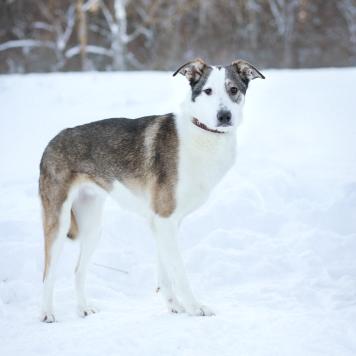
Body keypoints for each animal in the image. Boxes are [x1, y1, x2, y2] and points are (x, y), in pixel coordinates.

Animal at [39, 58, 264, 322]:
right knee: (47, 274)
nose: (224, 116)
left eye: (233, 90)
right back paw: (47, 313)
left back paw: (83, 308)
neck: (202, 132)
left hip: (92, 228)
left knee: (78, 271)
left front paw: (174, 305)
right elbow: (180, 272)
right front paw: (194, 308)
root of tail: (53, 140)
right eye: (208, 90)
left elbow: (166, 273)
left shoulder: (166, 223)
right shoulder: (164, 219)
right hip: (59, 222)